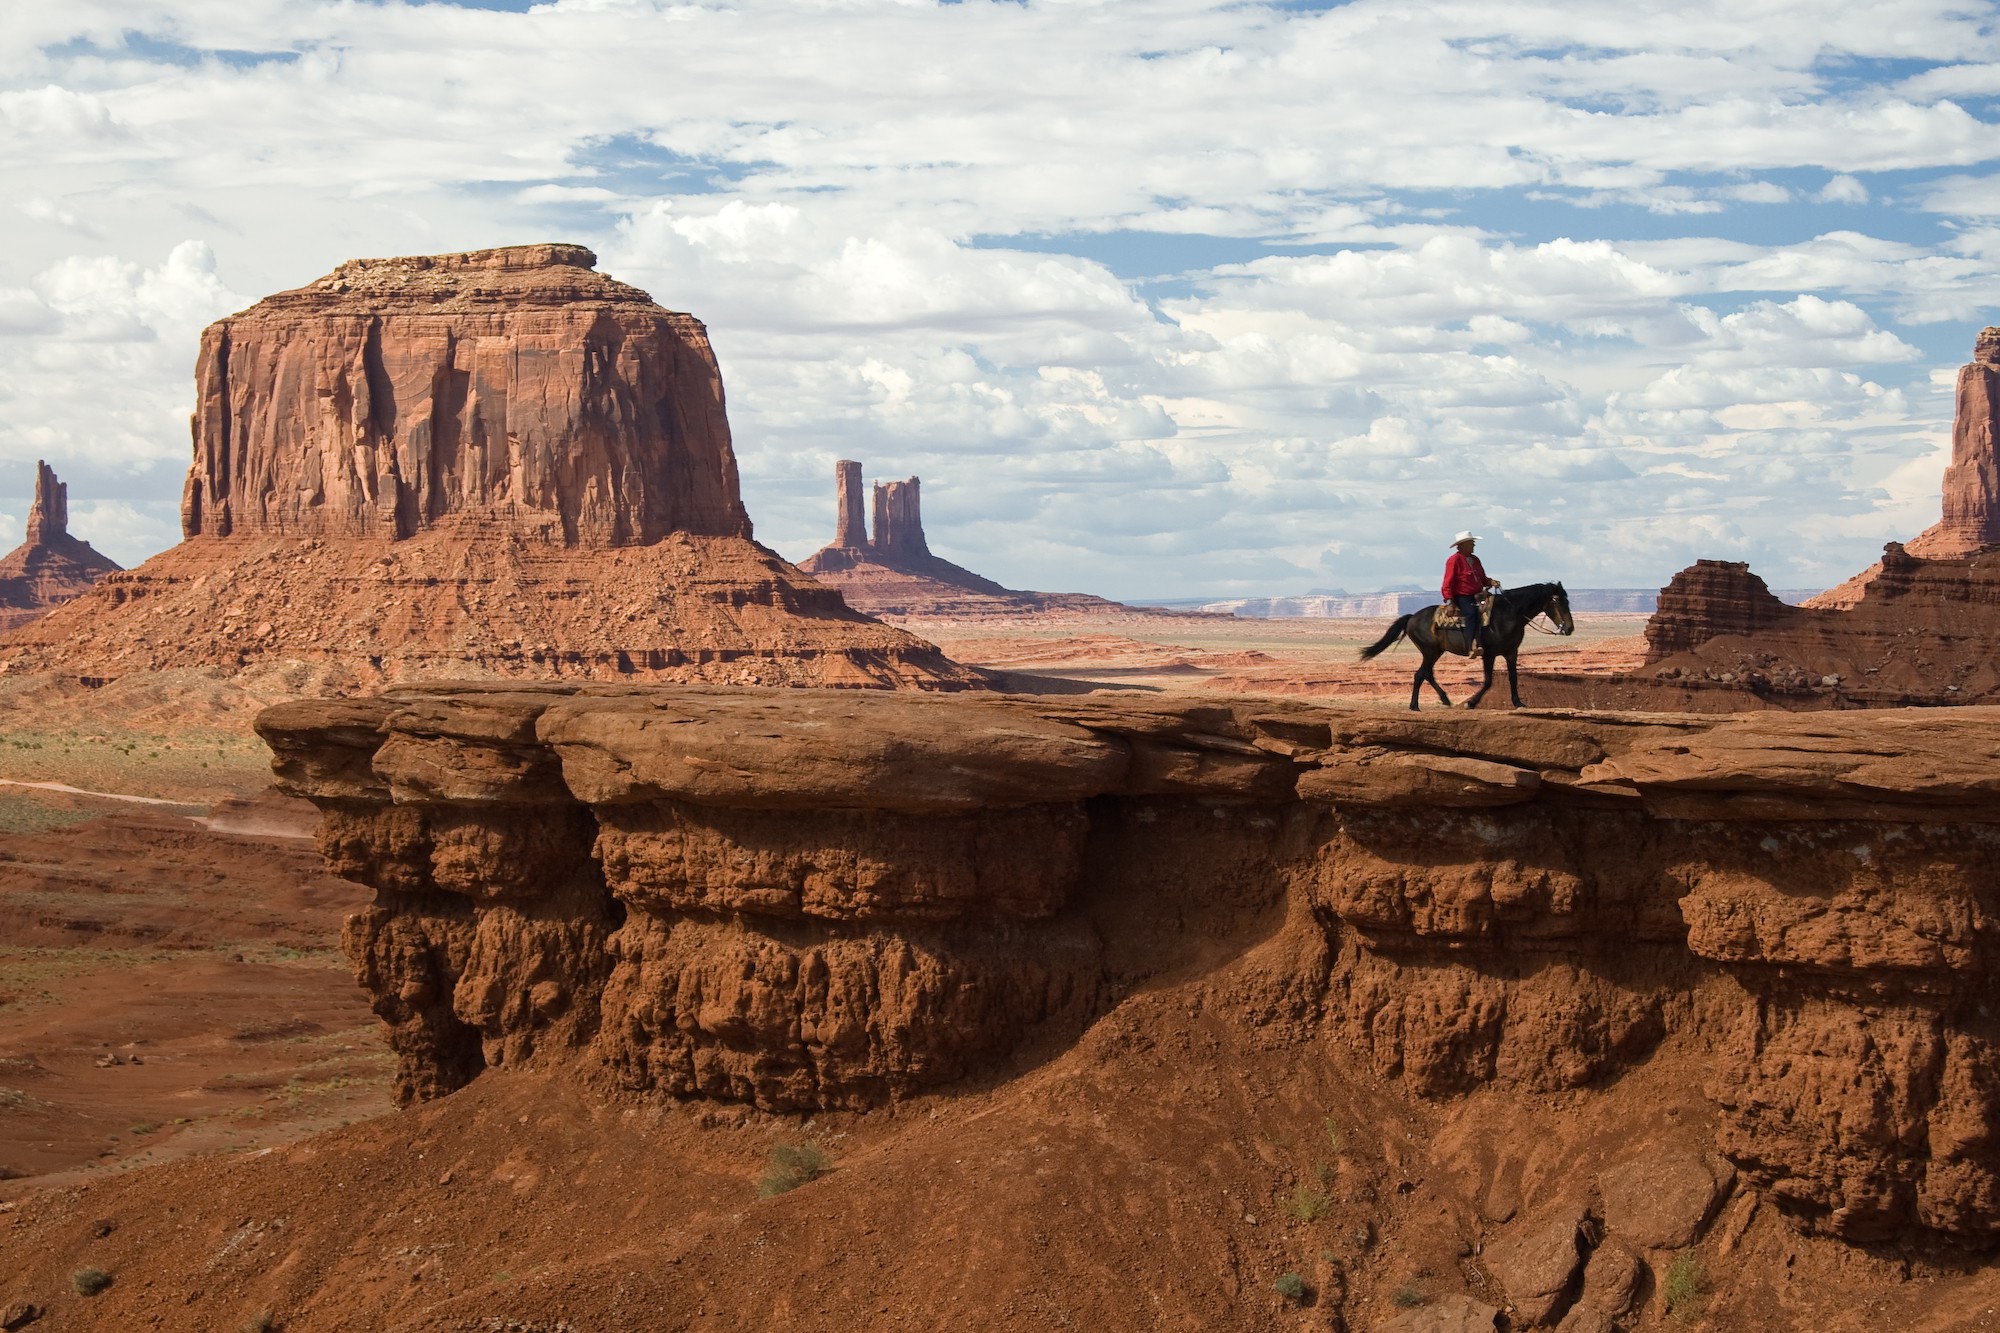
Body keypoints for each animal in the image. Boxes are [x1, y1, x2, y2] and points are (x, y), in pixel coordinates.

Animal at [1360, 580, 1576, 704]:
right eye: (1559, 601)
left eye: (1568, 600)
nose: (1569, 628)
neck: (1508, 614)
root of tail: (1412, 617)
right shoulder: (1488, 653)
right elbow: (1488, 681)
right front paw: (1471, 703)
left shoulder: (1511, 652)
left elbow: (1513, 678)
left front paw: (1518, 703)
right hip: (1430, 651)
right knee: (1420, 674)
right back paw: (1416, 706)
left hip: (1435, 652)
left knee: (1426, 673)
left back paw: (1444, 699)